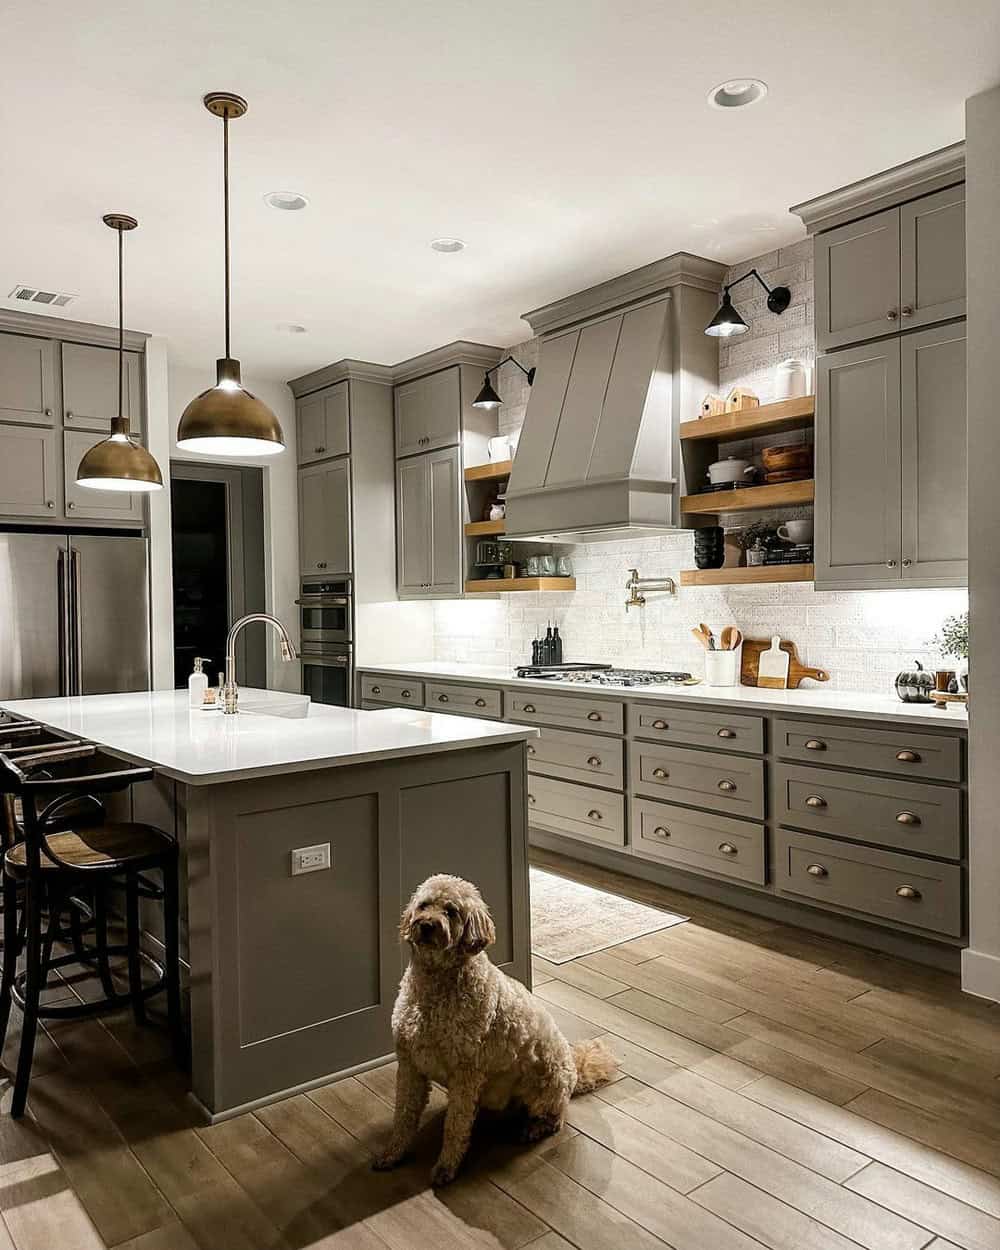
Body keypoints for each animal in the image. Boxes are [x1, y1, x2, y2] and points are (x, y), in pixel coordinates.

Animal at [370, 875, 612, 1185]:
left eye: (451, 911)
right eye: (424, 905)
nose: (426, 925)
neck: (436, 982)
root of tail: (574, 1068)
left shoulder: (466, 1073)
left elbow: (456, 1125)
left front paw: (446, 1168)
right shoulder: (410, 1066)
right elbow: (403, 1115)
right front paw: (392, 1154)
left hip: (548, 1084)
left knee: (556, 1117)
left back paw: (535, 1128)